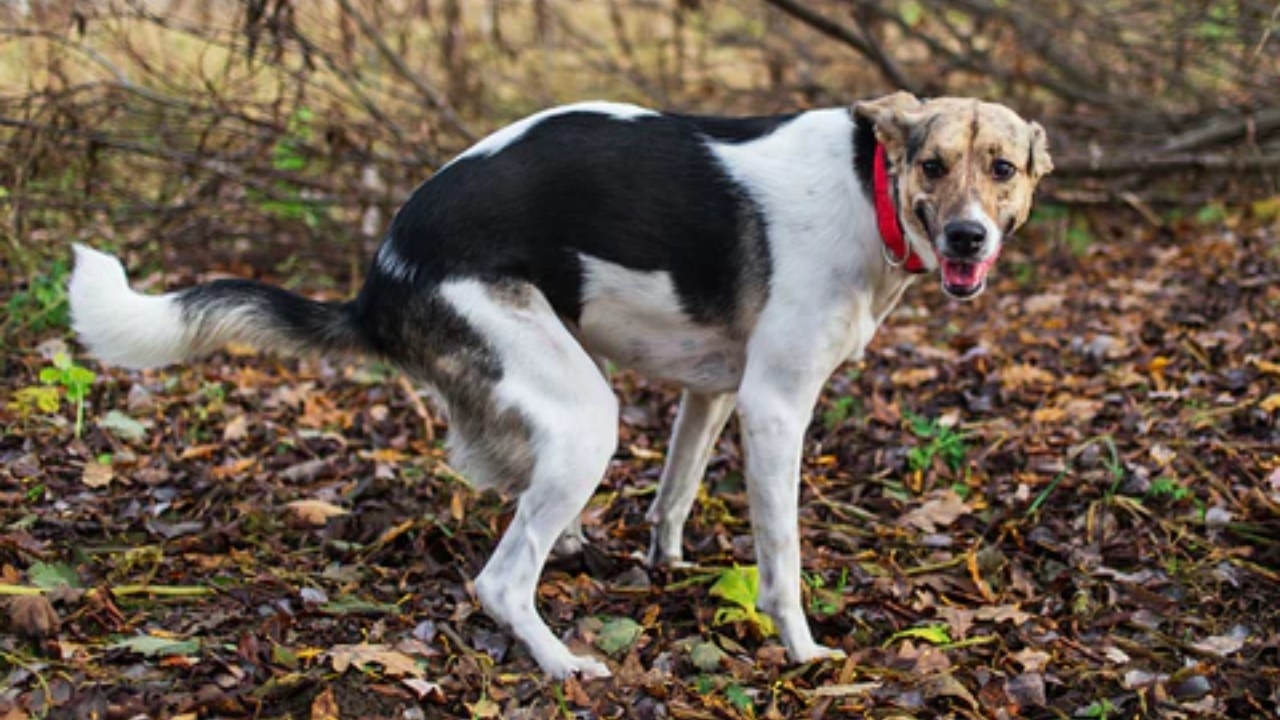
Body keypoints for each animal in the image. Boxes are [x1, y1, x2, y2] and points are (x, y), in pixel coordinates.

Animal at [70, 92, 1049, 676]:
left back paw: (575, 551)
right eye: (932, 166)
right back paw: (562, 663)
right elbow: (782, 559)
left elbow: (674, 495)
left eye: (1002, 169)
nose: (966, 237)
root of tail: (379, 280)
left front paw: (666, 566)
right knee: (501, 580)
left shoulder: (714, 393)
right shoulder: (775, 409)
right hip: (586, 420)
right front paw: (803, 651)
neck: (866, 189)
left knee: (520, 497)